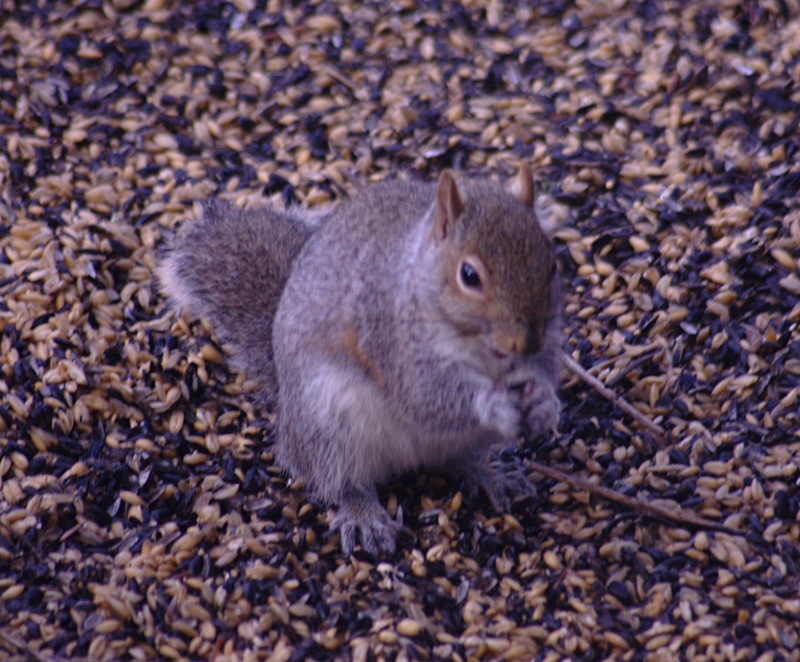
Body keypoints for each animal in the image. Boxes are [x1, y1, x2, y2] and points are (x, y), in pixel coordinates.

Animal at [157, 166, 562, 556]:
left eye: (551, 264)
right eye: (469, 275)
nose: (526, 342)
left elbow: (543, 371)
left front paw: (545, 403)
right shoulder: (390, 342)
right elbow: (429, 398)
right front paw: (494, 404)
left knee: (455, 459)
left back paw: (491, 474)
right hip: (330, 424)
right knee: (342, 481)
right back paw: (364, 515)